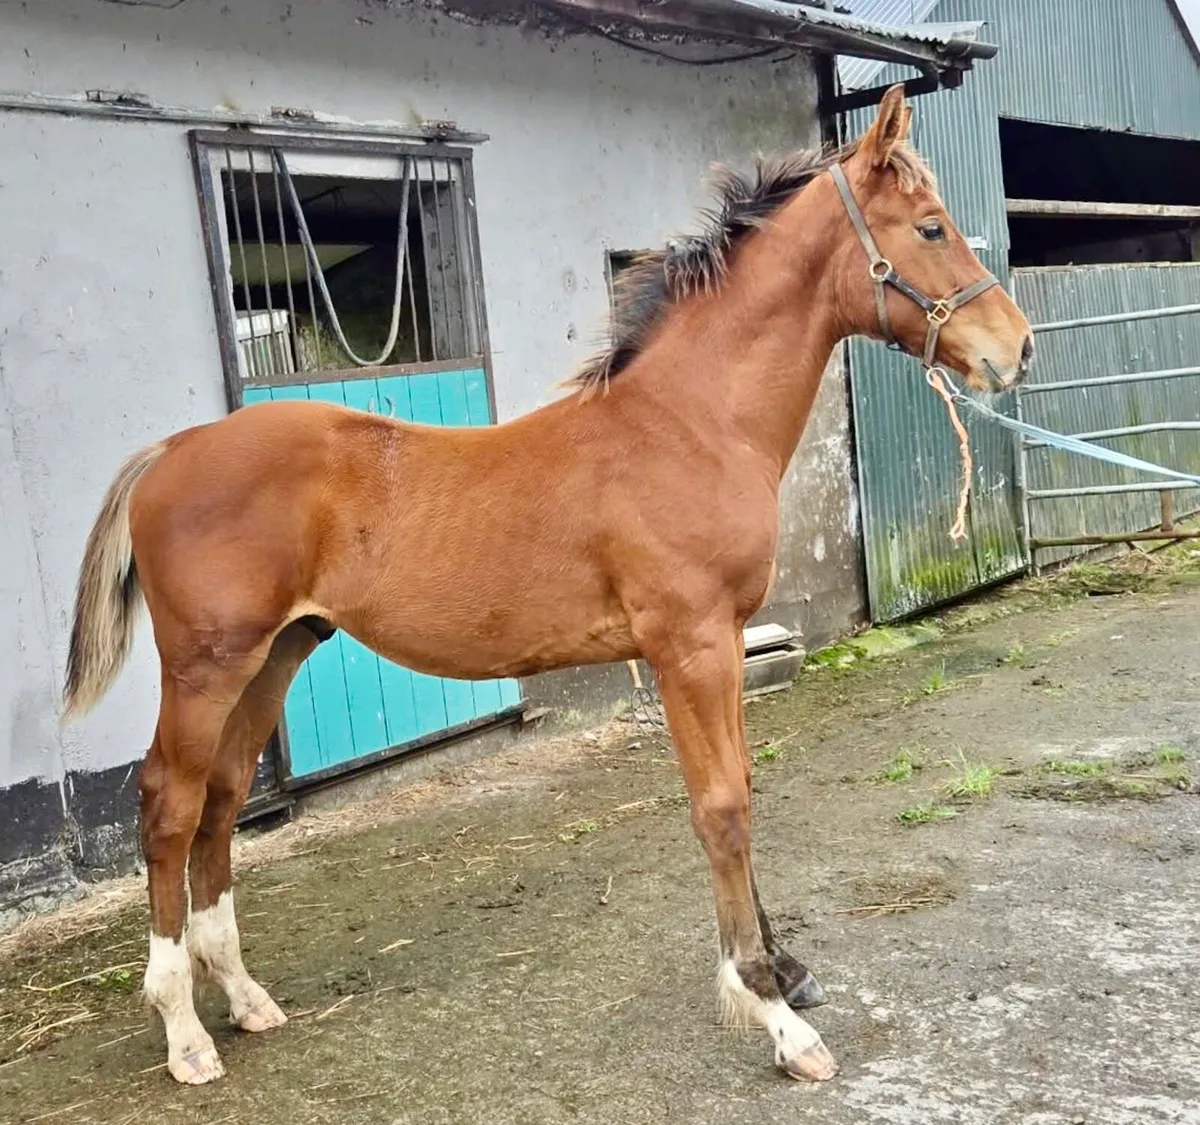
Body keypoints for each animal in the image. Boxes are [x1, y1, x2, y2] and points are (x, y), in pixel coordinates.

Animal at [62, 86, 1032, 1086]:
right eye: (929, 226)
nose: (1017, 350)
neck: (687, 423)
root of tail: (171, 450)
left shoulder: (721, 638)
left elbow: (743, 790)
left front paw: (787, 972)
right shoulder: (690, 644)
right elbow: (721, 807)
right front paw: (772, 1010)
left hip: (276, 655)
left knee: (219, 804)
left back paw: (246, 998)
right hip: (207, 665)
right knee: (169, 806)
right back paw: (185, 1031)